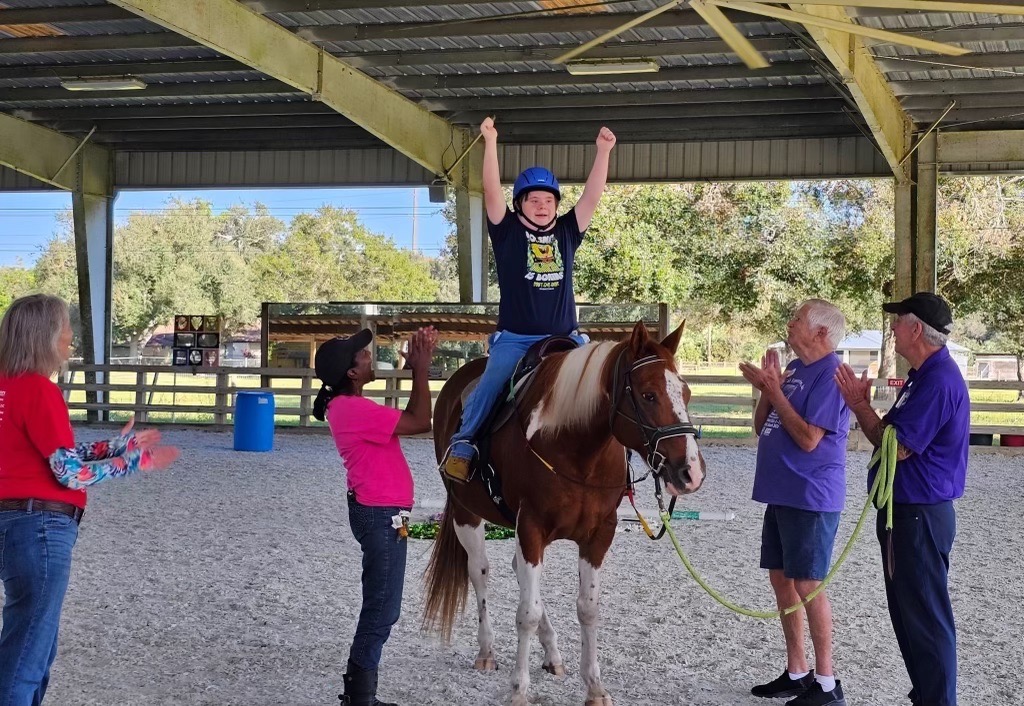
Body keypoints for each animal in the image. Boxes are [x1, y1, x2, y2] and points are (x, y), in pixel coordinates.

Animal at [424, 321, 706, 706]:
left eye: (687, 393)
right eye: (648, 395)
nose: (691, 471)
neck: (574, 446)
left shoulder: (599, 534)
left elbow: (587, 608)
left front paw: (595, 687)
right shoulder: (530, 527)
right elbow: (526, 613)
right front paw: (519, 690)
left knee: (518, 572)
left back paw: (553, 654)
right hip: (467, 514)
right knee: (480, 571)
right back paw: (487, 651)